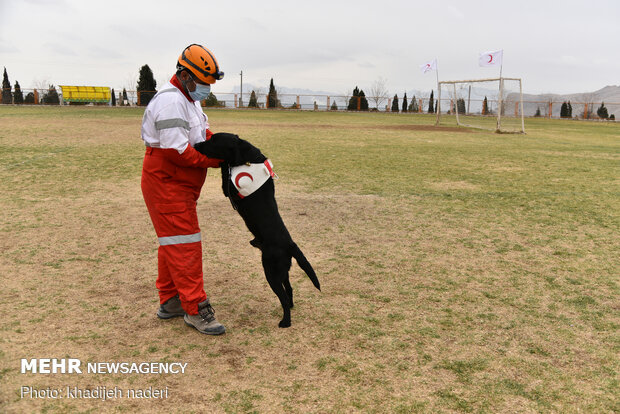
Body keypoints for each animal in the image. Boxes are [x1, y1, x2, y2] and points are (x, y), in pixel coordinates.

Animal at [194, 133, 320, 326]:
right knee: (289, 289)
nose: (196, 145)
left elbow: (225, 169)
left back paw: (285, 321)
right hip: (282, 271)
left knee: (283, 297)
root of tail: (290, 244)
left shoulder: (229, 188)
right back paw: (291, 308)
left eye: (214, 141)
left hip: (271, 272)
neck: (248, 157)